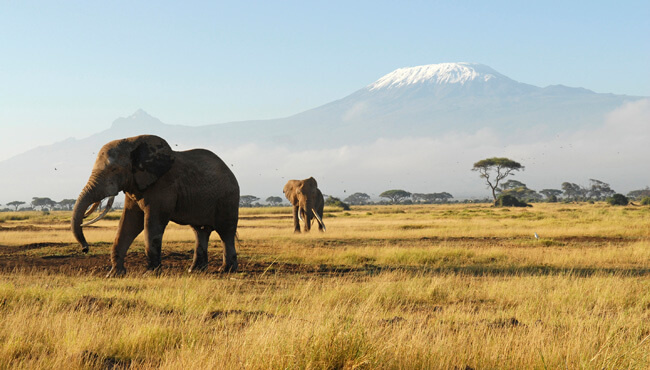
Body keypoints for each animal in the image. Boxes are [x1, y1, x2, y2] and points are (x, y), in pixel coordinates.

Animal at [71, 134, 238, 276]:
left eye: (114, 169)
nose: (85, 248)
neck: (132, 142)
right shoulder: (135, 185)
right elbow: (129, 223)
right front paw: (114, 274)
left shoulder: (163, 186)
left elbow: (152, 223)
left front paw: (150, 273)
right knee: (200, 231)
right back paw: (195, 270)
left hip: (228, 198)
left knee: (226, 232)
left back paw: (226, 270)